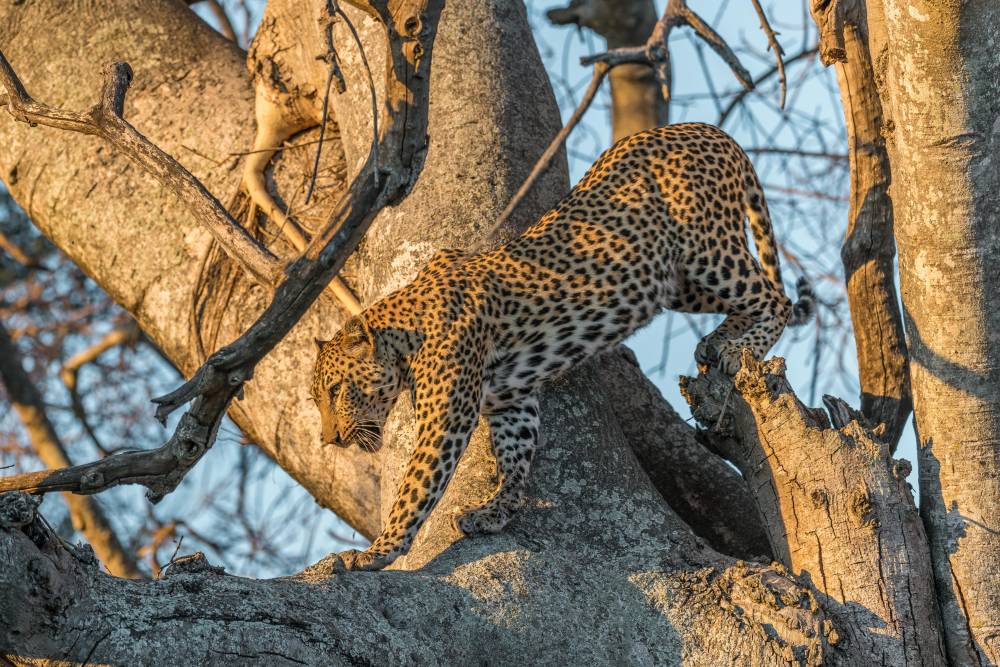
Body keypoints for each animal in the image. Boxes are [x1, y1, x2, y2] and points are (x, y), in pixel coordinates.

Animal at [310, 123, 814, 571]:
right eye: (318, 400)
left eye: (336, 391)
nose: (329, 439)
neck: (403, 332)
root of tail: (707, 130)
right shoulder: (511, 399)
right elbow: (516, 453)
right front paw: (497, 509)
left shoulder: (446, 420)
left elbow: (416, 488)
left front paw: (376, 553)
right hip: (673, 281)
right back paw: (717, 341)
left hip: (707, 250)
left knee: (776, 298)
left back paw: (736, 348)